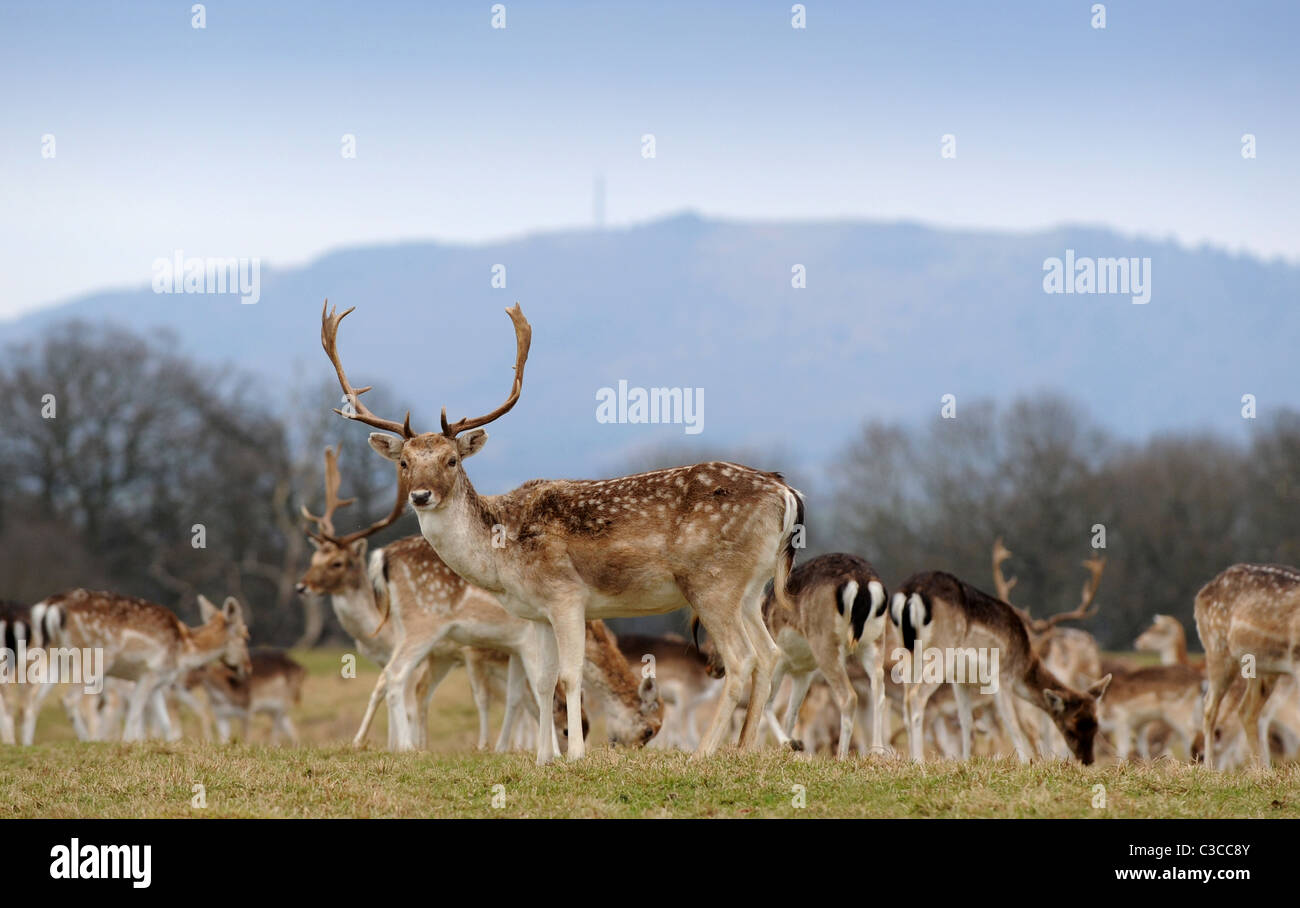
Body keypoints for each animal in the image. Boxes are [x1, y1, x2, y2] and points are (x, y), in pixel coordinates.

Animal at [33, 587, 250, 744]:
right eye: (245, 635)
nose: (247, 668)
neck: (184, 649)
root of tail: (51, 606)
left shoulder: (158, 685)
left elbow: (164, 723)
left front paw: (170, 745)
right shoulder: (150, 673)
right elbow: (135, 715)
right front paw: (130, 743)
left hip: (58, 655)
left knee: (34, 700)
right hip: (95, 660)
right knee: (70, 700)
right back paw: (88, 741)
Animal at [317, 300, 800, 759]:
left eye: (451, 460)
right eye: (404, 462)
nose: (420, 495)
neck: (500, 554)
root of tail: (787, 492)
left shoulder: (567, 595)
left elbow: (569, 677)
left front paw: (575, 756)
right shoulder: (536, 613)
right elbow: (543, 683)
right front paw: (542, 759)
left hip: (711, 582)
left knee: (740, 660)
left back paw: (703, 754)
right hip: (751, 588)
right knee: (769, 653)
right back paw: (743, 749)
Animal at [759, 551, 889, 754]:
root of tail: (861, 582)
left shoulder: (778, 663)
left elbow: (766, 704)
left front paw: (788, 743)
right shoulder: (803, 673)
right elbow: (791, 714)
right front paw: (793, 746)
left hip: (826, 647)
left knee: (849, 697)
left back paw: (841, 756)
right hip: (873, 644)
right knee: (878, 691)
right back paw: (877, 751)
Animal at [894, 569, 1107, 759]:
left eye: (1096, 723)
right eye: (1073, 725)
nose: (1087, 759)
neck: (1023, 663)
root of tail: (912, 592)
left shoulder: (960, 681)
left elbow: (967, 722)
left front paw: (966, 762)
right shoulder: (1002, 677)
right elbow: (1012, 724)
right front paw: (1026, 764)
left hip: (907, 653)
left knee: (906, 702)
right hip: (940, 653)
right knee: (916, 697)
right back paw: (918, 761)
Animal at [1190, 561, 1300, 764]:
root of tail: (1200, 594)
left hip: (1264, 667)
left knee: (1246, 711)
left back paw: (1262, 768)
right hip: (1217, 649)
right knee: (1210, 707)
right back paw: (1209, 766)